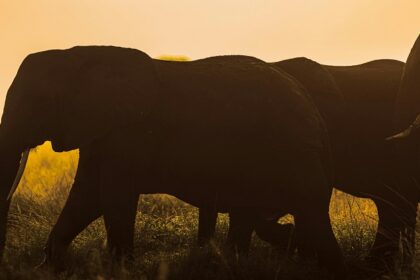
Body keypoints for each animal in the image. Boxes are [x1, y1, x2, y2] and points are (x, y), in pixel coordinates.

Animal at [0, 46, 344, 276]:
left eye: (38, 101)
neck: (78, 55)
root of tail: (315, 113)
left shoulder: (127, 131)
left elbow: (112, 197)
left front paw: (121, 270)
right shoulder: (101, 132)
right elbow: (87, 198)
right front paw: (49, 267)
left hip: (294, 153)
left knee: (310, 212)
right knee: (252, 213)